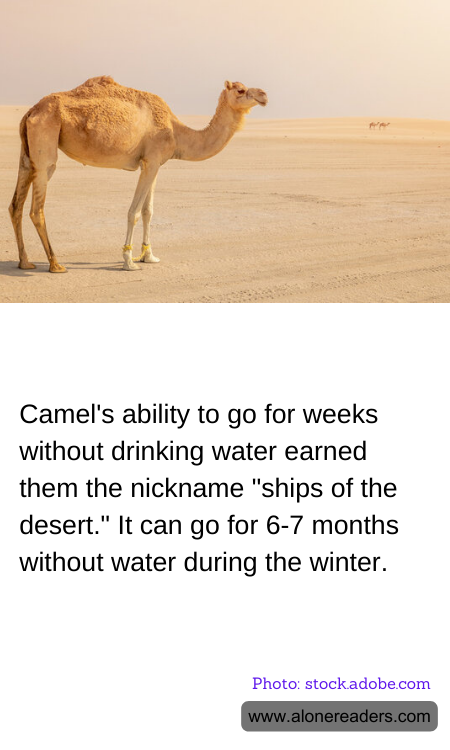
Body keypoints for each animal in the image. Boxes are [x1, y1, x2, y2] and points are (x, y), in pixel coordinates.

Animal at [9, 77, 268, 272]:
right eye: (240, 90)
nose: (264, 94)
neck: (177, 132)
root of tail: (31, 111)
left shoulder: (152, 163)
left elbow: (147, 211)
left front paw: (149, 256)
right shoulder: (152, 160)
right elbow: (133, 212)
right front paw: (128, 261)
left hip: (27, 152)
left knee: (16, 204)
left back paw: (25, 262)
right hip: (46, 140)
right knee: (37, 207)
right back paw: (55, 264)